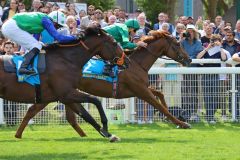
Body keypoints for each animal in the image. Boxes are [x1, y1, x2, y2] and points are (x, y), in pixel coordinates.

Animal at [15, 30, 191, 139]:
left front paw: (174, 116)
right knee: (35, 110)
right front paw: (181, 123)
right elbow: (159, 105)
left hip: (61, 93)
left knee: (53, 113)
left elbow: (160, 94)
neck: (135, 64)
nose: (189, 59)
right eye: (177, 44)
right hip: (60, 92)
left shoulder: (140, 89)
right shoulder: (140, 90)